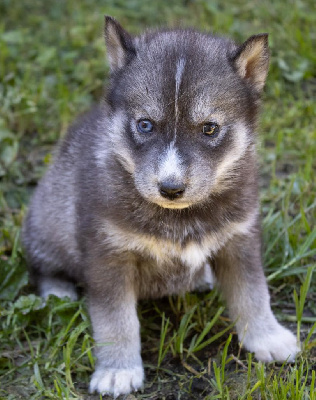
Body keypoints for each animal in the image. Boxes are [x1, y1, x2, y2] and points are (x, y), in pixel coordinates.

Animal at [22, 16, 298, 396]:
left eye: (209, 128)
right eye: (145, 125)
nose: (170, 188)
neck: (179, 218)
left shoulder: (239, 239)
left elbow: (253, 293)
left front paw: (268, 337)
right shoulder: (108, 255)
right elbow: (115, 320)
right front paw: (118, 370)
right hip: (47, 223)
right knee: (42, 266)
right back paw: (58, 293)